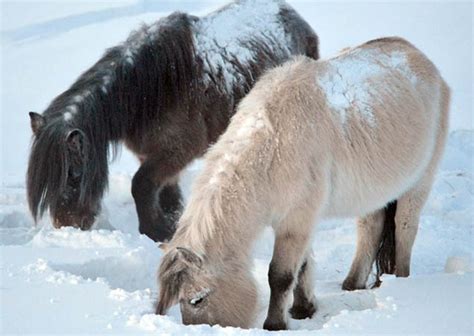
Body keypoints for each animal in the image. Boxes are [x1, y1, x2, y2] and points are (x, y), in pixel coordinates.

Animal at [27, 0, 320, 242]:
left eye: (74, 175)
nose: (67, 225)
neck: (149, 90)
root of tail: (294, 16)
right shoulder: (155, 155)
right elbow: (166, 194)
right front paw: (173, 224)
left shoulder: (176, 151)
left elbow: (140, 186)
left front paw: (155, 232)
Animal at [155, 36, 448, 330]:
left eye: (197, 299)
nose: (203, 330)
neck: (272, 145)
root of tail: (419, 57)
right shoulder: (299, 221)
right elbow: (303, 267)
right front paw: (303, 309)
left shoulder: (296, 221)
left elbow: (281, 275)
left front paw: (275, 324)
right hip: (373, 193)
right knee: (370, 227)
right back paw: (352, 284)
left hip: (418, 184)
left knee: (405, 228)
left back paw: (401, 278)